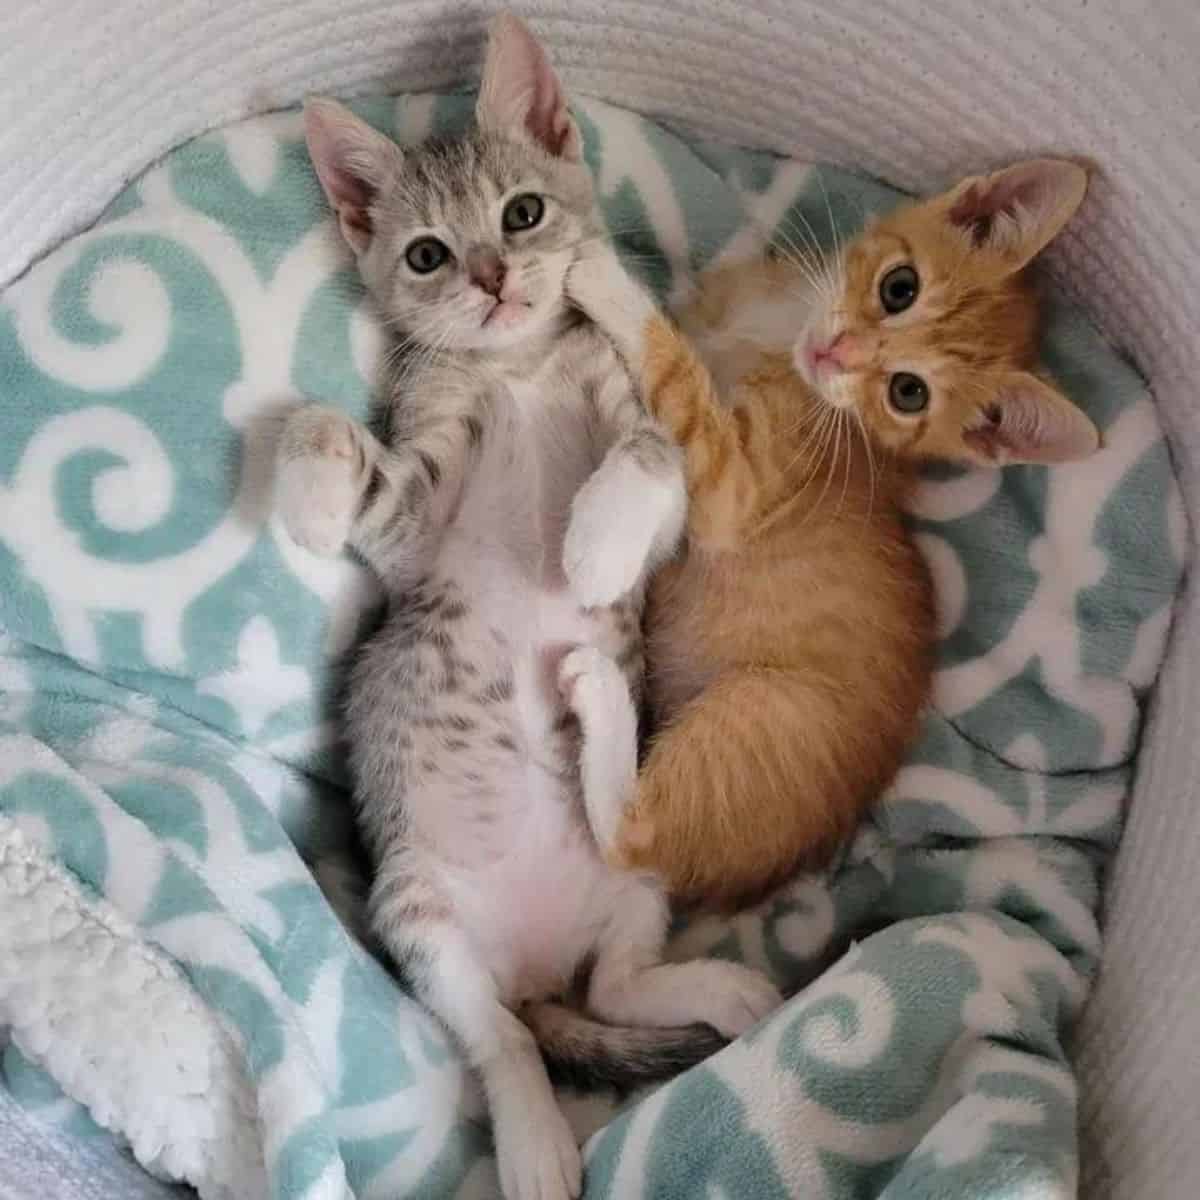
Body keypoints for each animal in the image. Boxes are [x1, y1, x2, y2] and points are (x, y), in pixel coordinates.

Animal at [272, 16, 777, 1200]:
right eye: (426, 255)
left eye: (521, 214)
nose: (495, 279)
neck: (521, 365)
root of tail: (542, 957)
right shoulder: (416, 524)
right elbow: (329, 431)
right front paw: (309, 496)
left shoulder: (661, 470)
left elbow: (650, 451)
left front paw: (592, 546)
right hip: (416, 911)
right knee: (503, 1034)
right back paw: (538, 1140)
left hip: (634, 890)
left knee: (615, 979)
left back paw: (715, 988)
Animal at [566, 162, 1099, 907]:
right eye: (899, 288)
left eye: (907, 393)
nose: (836, 353)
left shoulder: (735, 488)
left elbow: (672, 384)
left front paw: (601, 275)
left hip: (760, 715)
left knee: (632, 845)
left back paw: (599, 692)